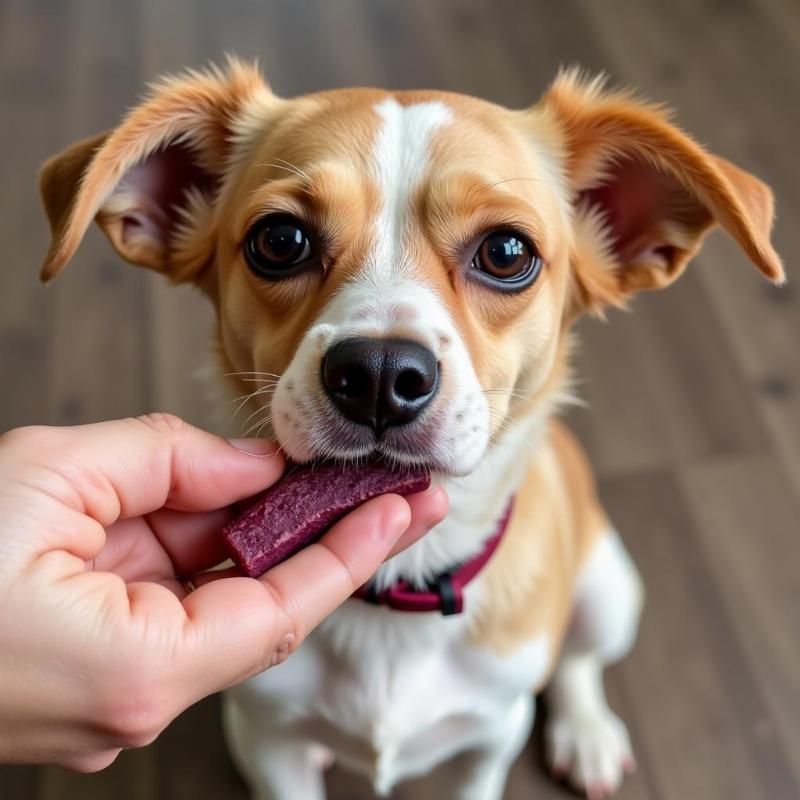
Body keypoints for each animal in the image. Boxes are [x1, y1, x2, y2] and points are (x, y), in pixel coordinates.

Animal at [37, 62, 780, 800]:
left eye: (506, 251)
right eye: (279, 241)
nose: (379, 373)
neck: (398, 593)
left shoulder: (488, 742)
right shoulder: (267, 740)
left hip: (609, 592)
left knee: (578, 661)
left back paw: (587, 731)